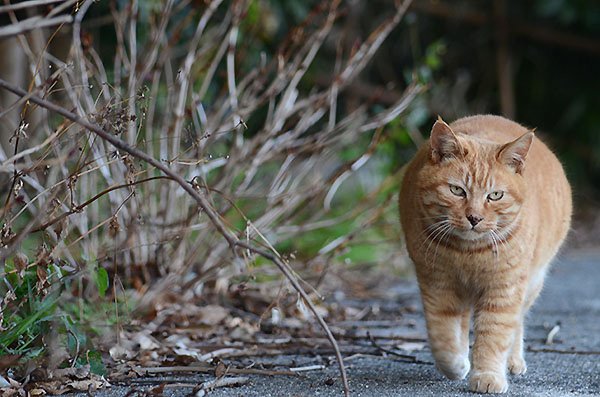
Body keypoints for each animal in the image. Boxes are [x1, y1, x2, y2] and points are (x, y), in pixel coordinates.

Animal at [398, 113, 572, 392]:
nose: (474, 218)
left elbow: (494, 335)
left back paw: (513, 361)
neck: (468, 253)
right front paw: (456, 365)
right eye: (457, 190)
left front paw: (488, 376)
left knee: (518, 323)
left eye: (495, 195)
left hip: (532, 282)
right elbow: (443, 334)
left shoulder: (504, 289)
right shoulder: (438, 285)